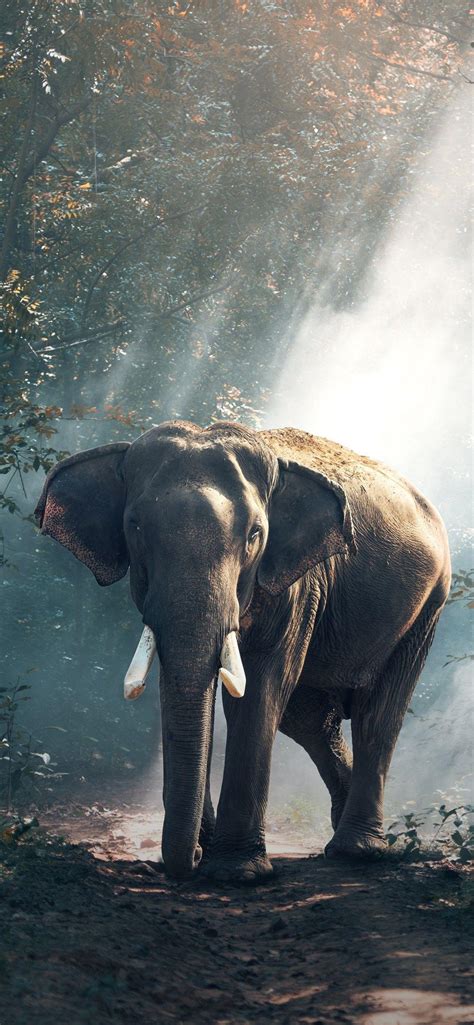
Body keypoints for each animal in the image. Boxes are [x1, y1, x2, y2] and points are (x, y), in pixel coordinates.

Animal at [35, 421, 451, 882]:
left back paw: (356, 851)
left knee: (377, 714)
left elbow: (260, 689)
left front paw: (237, 872)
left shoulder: (298, 583)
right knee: (310, 719)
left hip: (428, 605)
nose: (193, 857)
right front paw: (210, 851)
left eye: (255, 534)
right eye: (135, 527)